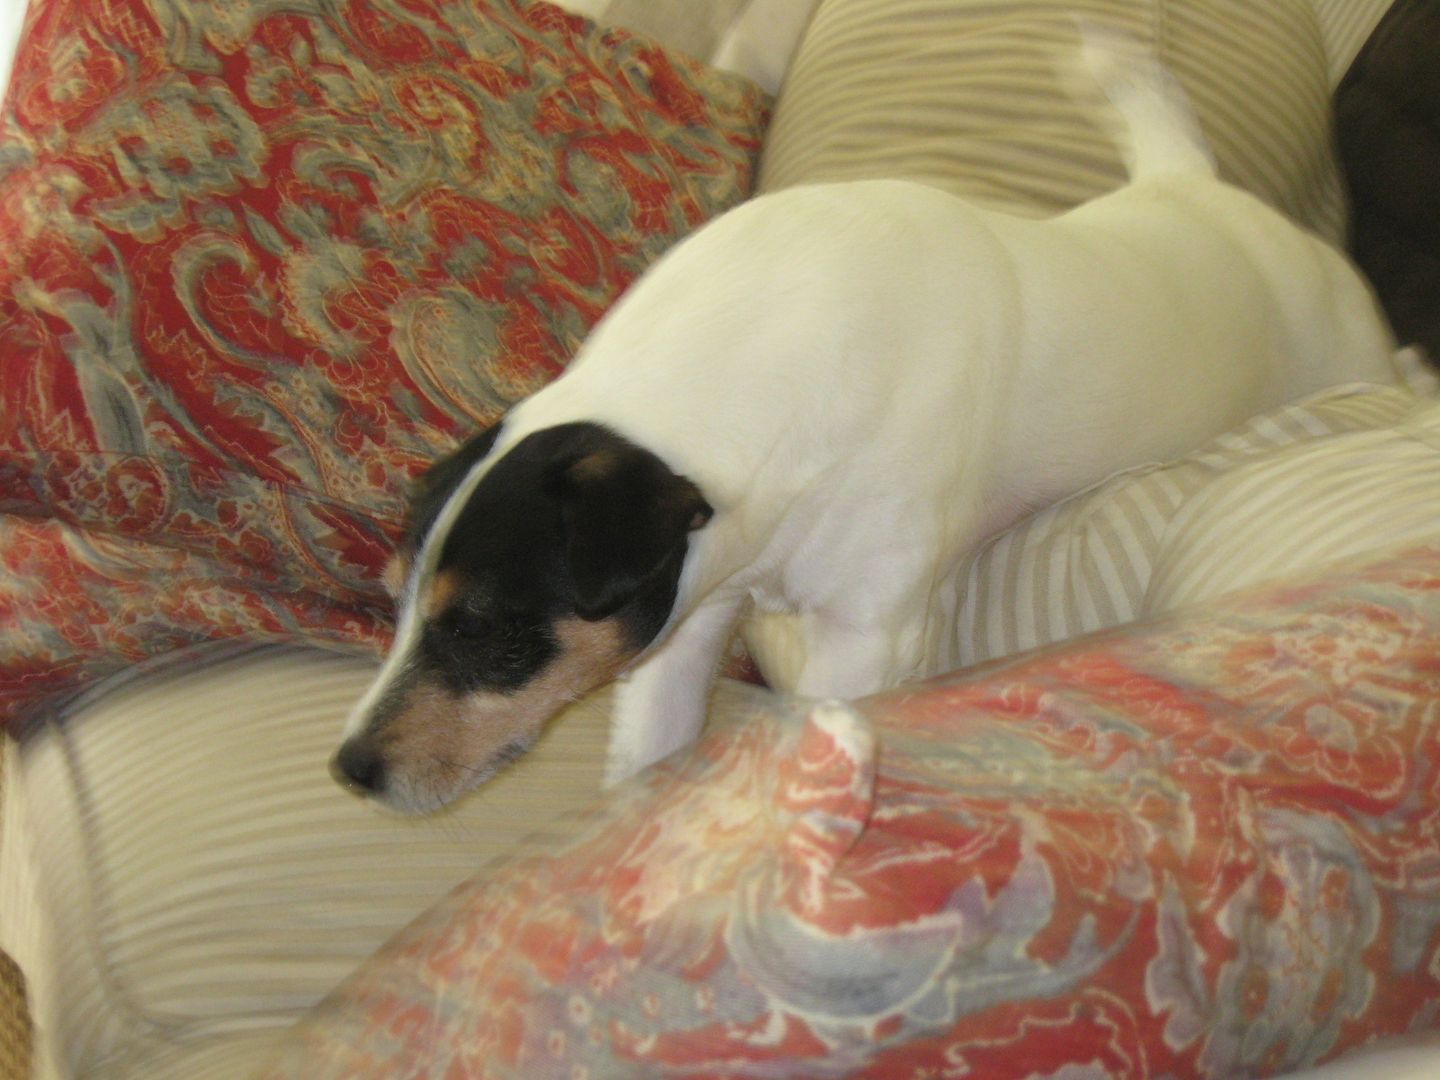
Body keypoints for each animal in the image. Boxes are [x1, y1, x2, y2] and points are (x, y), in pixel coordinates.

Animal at [334, 38, 1393, 812]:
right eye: (394, 603)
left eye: (483, 628)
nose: (349, 770)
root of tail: (1194, 188)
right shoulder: (689, 617)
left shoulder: (864, 634)